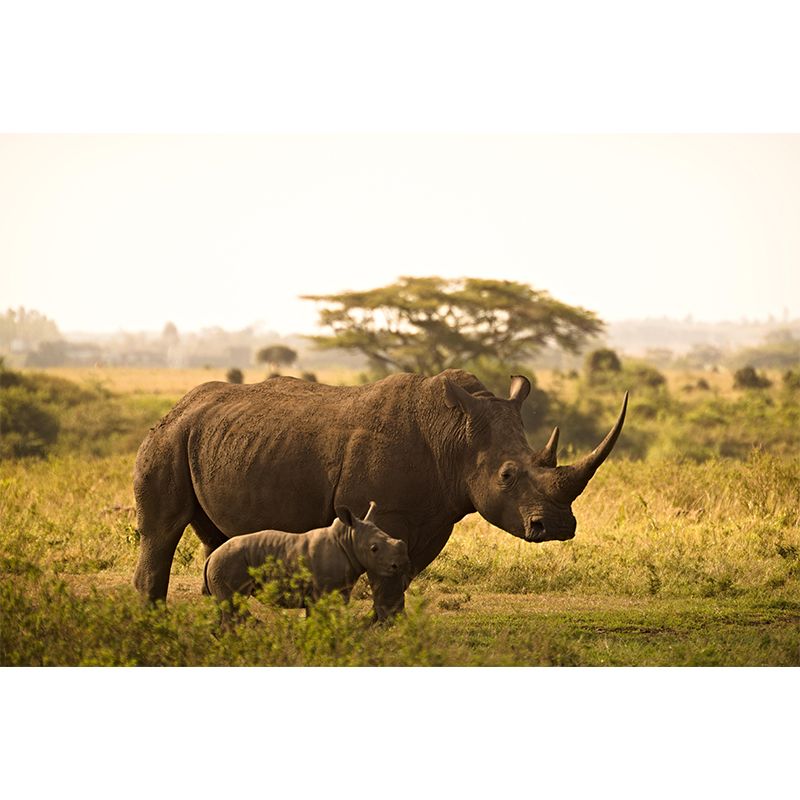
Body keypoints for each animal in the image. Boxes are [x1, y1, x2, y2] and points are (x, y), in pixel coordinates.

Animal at [202, 501, 411, 618]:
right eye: (374, 549)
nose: (401, 565)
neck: (348, 540)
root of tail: (211, 557)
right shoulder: (323, 592)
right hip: (227, 563)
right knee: (233, 606)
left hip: (222, 564)